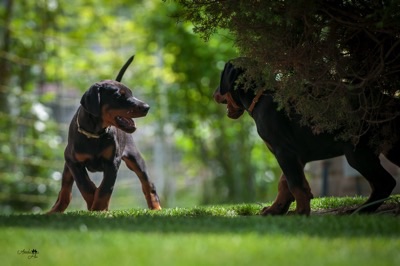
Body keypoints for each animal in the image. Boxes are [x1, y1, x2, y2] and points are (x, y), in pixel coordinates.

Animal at [49, 56, 161, 214]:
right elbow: (85, 185)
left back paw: (156, 208)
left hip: (135, 158)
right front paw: (94, 204)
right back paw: (54, 211)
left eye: (131, 94)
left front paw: (98, 208)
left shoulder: (112, 162)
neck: (95, 134)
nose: (147, 107)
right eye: (119, 96)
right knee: (65, 191)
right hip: (67, 166)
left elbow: (105, 188)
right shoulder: (72, 161)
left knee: (148, 185)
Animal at [216, 59, 400, 215]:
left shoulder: (284, 151)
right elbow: (285, 183)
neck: (259, 97)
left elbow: (295, 184)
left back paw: (360, 210)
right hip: (389, 149)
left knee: (385, 183)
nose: (214, 93)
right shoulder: (294, 155)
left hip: (358, 153)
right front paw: (276, 209)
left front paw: (300, 212)